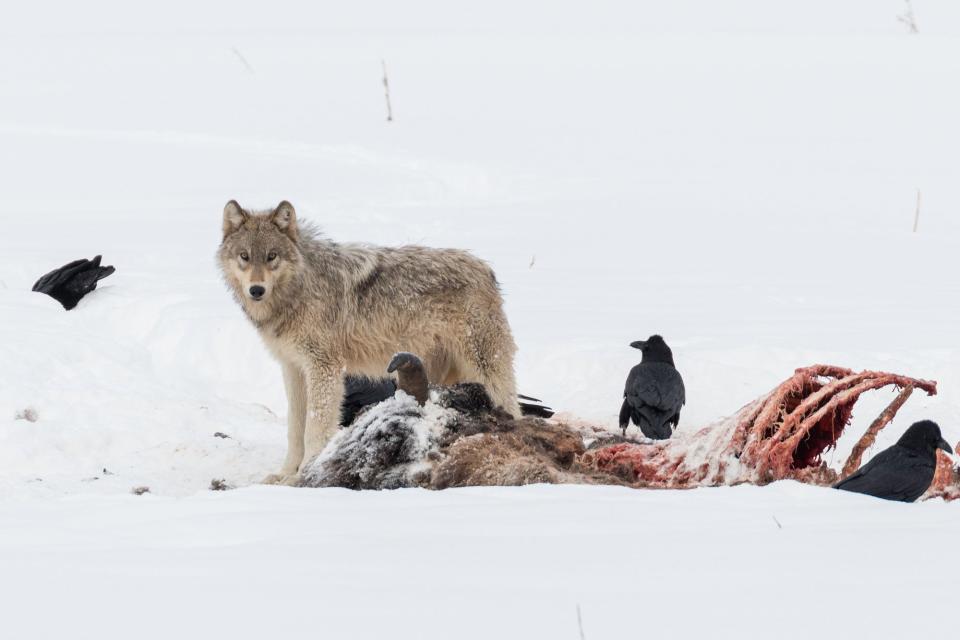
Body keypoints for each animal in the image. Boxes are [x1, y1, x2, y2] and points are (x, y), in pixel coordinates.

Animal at [218, 198, 520, 482]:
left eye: (272, 256)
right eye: (245, 256)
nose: (256, 290)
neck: (300, 288)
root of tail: (486, 270)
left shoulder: (324, 368)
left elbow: (314, 429)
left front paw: (302, 475)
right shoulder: (293, 368)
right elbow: (295, 429)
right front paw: (284, 474)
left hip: (485, 373)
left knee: (514, 412)